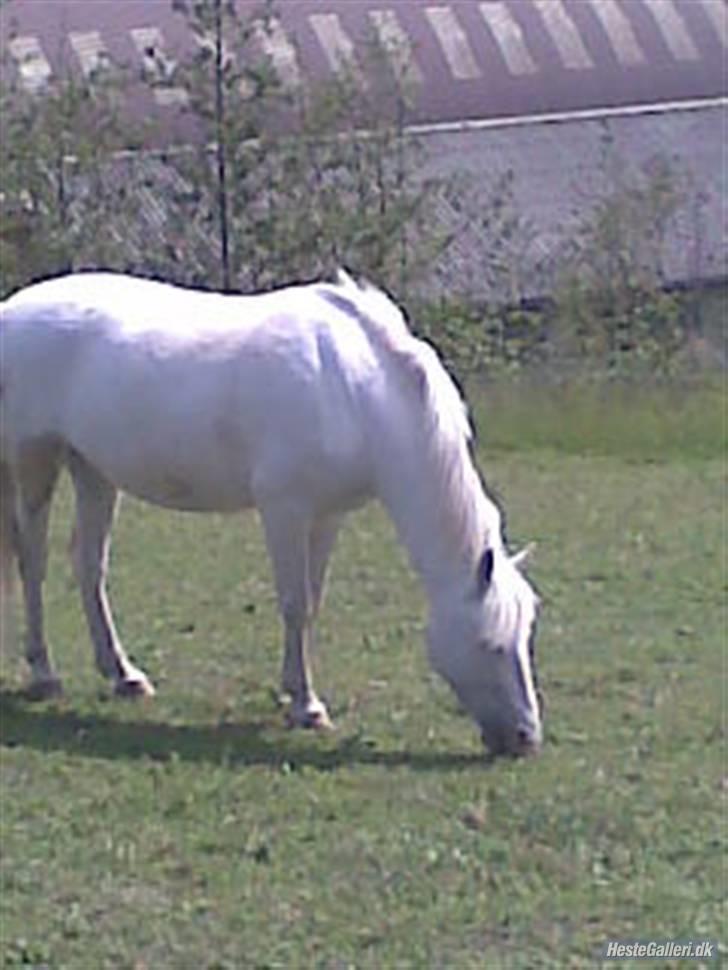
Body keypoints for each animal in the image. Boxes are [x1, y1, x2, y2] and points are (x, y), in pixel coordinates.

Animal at [0, 268, 540, 752]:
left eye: (524, 637)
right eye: (490, 644)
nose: (526, 739)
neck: (355, 388)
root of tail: (11, 311)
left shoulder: (328, 515)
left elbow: (312, 602)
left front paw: (292, 693)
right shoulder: (285, 510)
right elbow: (294, 603)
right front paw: (306, 707)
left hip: (92, 469)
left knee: (88, 566)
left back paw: (124, 676)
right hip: (35, 460)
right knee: (33, 562)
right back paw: (44, 674)